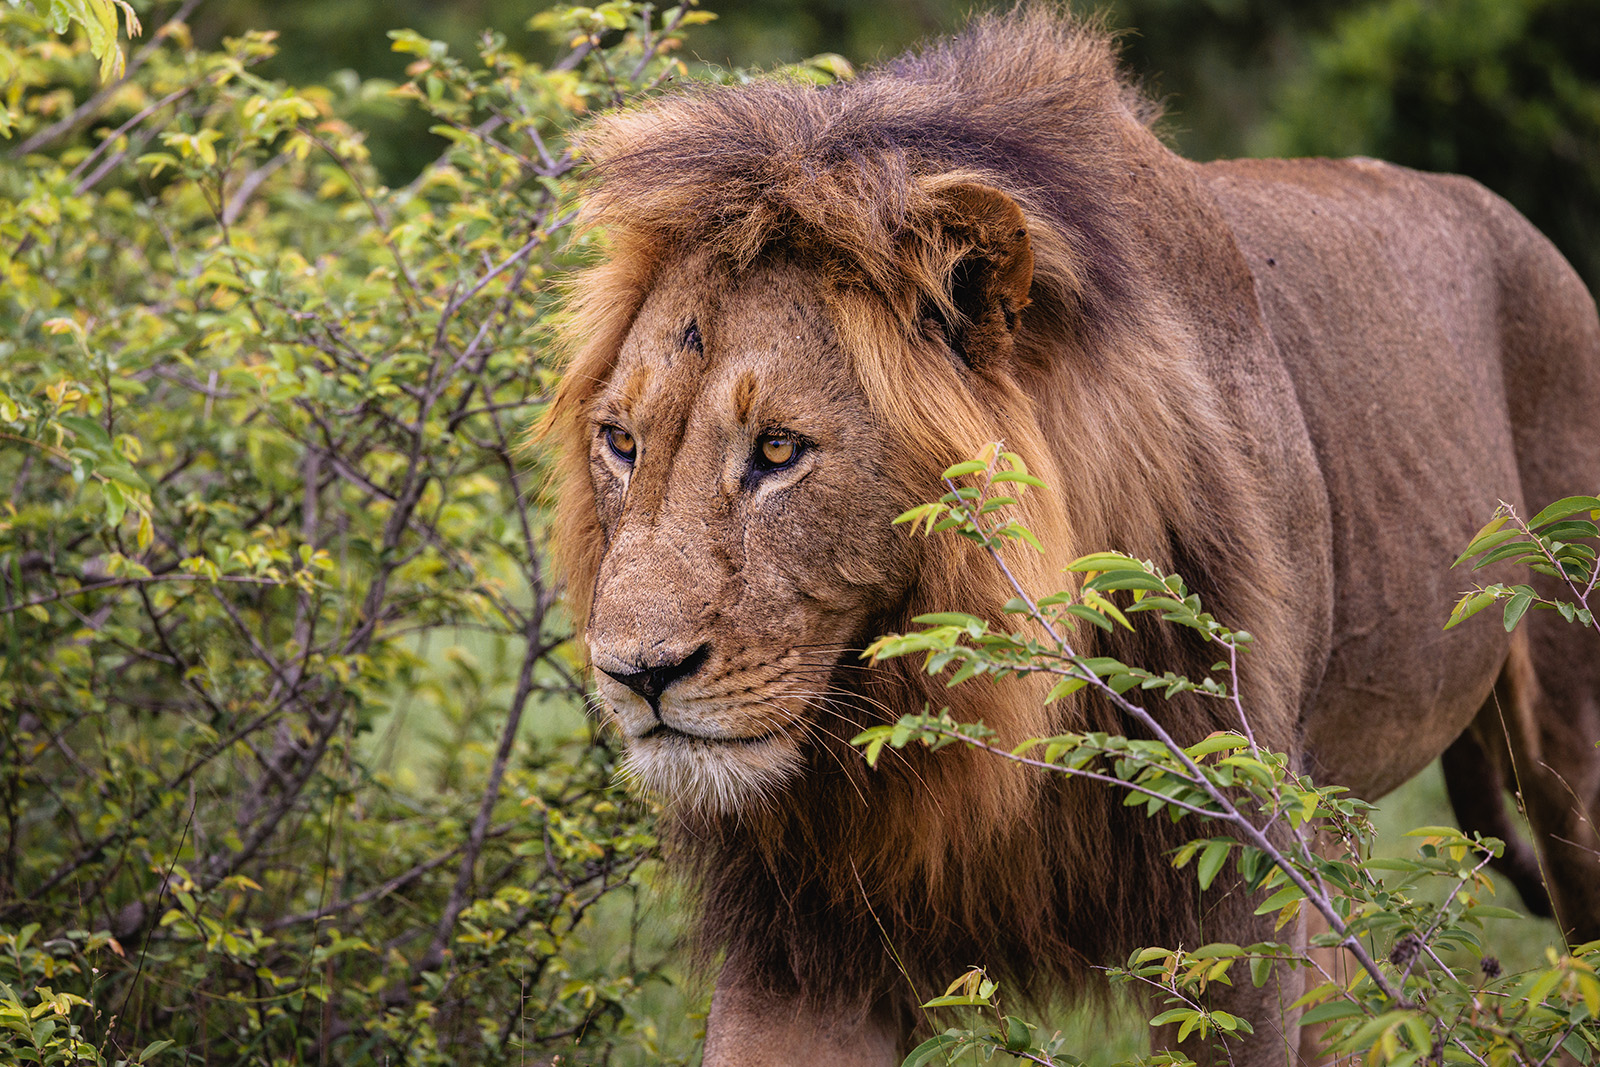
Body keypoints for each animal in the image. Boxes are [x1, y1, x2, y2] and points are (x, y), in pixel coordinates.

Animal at [541, 7, 1600, 1064]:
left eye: (776, 449)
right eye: (622, 442)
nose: (636, 674)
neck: (986, 716)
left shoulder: (1241, 898)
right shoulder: (804, 932)